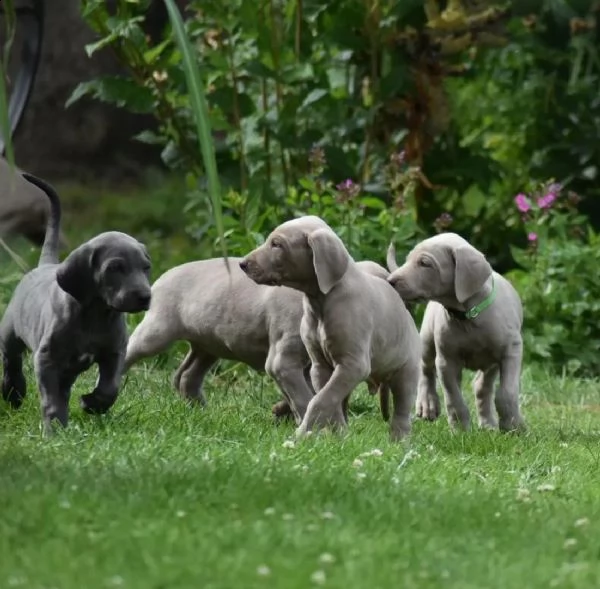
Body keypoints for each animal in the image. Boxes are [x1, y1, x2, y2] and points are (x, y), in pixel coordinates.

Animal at [0, 172, 152, 434]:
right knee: (12, 361)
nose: (145, 297)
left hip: (68, 370)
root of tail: (44, 265)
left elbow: (110, 387)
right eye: (114, 268)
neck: (95, 316)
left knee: (63, 388)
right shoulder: (46, 359)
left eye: (146, 268)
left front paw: (92, 404)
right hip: (10, 333)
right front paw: (54, 429)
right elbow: (50, 399)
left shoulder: (114, 352)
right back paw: (14, 393)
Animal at [123, 255, 394, 424]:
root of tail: (162, 277)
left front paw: (282, 413)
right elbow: (303, 396)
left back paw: (200, 410)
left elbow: (304, 392)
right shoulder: (283, 360)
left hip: (208, 345)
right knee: (130, 350)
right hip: (157, 331)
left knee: (187, 376)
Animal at [240, 214, 422, 438]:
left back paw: (399, 440)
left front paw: (301, 434)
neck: (321, 302)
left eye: (277, 244)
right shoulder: (320, 366)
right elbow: (328, 399)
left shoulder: (354, 365)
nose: (242, 264)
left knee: (402, 411)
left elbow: (319, 401)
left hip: (406, 371)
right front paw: (338, 434)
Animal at [386, 231, 524, 432]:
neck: (468, 316)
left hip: (491, 362)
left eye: (425, 263)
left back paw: (488, 424)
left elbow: (506, 392)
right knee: (426, 369)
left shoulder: (511, 351)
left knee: (482, 386)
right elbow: (454, 397)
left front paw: (513, 426)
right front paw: (460, 429)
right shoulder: (446, 361)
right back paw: (427, 404)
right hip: (427, 338)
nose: (389, 281)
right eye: (408, 260)